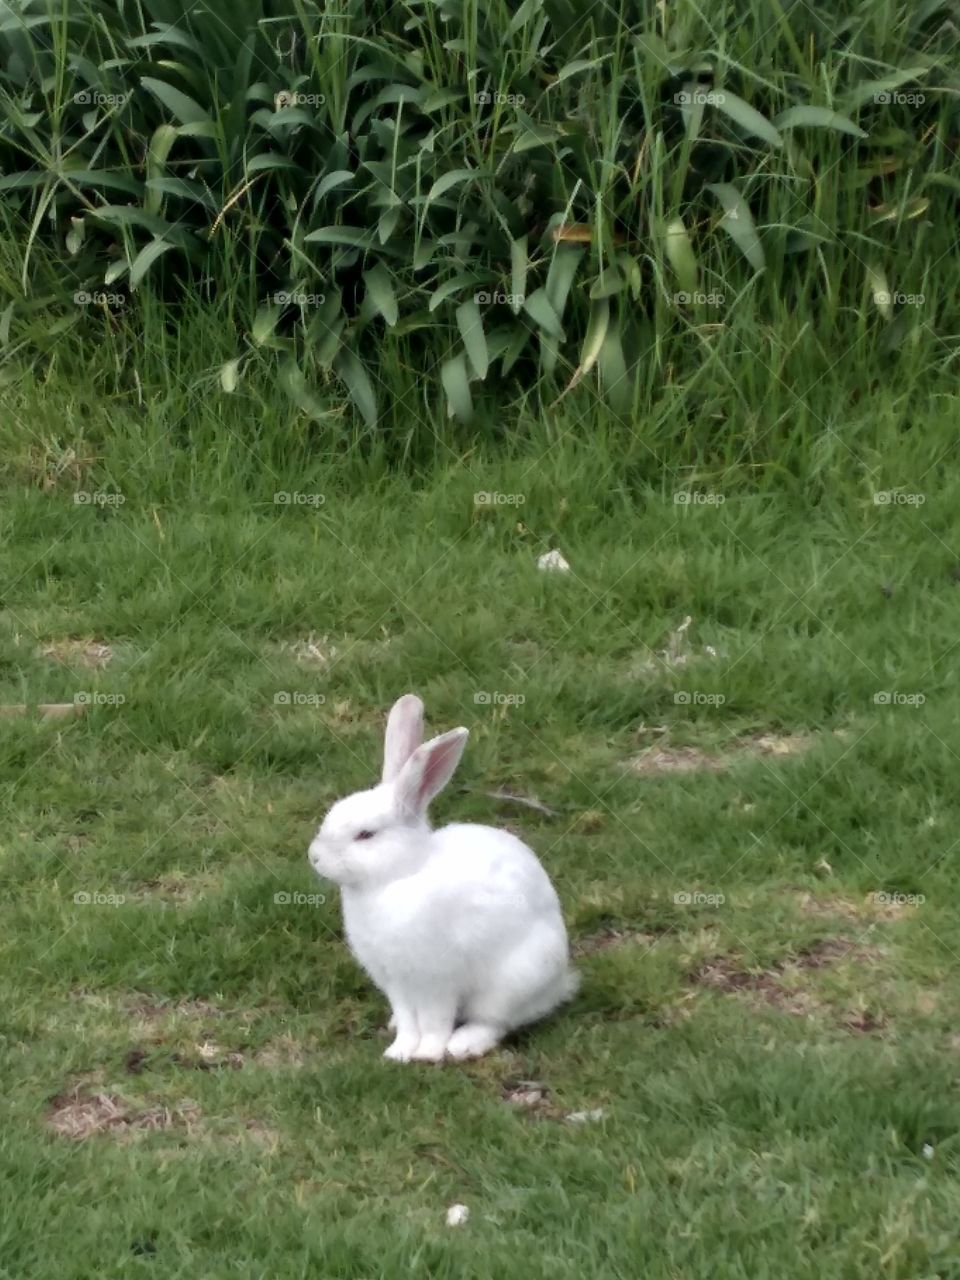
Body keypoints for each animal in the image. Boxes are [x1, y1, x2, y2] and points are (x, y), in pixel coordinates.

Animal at [308, 693, 579, 1062]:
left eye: (365, 835)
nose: (314, 857)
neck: (398, 876)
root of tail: (560, 983)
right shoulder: (395, 982)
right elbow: (409, 1019)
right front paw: (399, 1052)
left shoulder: (435, 981)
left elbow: (435, 1021)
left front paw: (427, 1053)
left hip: (513, 981)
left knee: (496, 1022)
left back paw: (463, 1044)